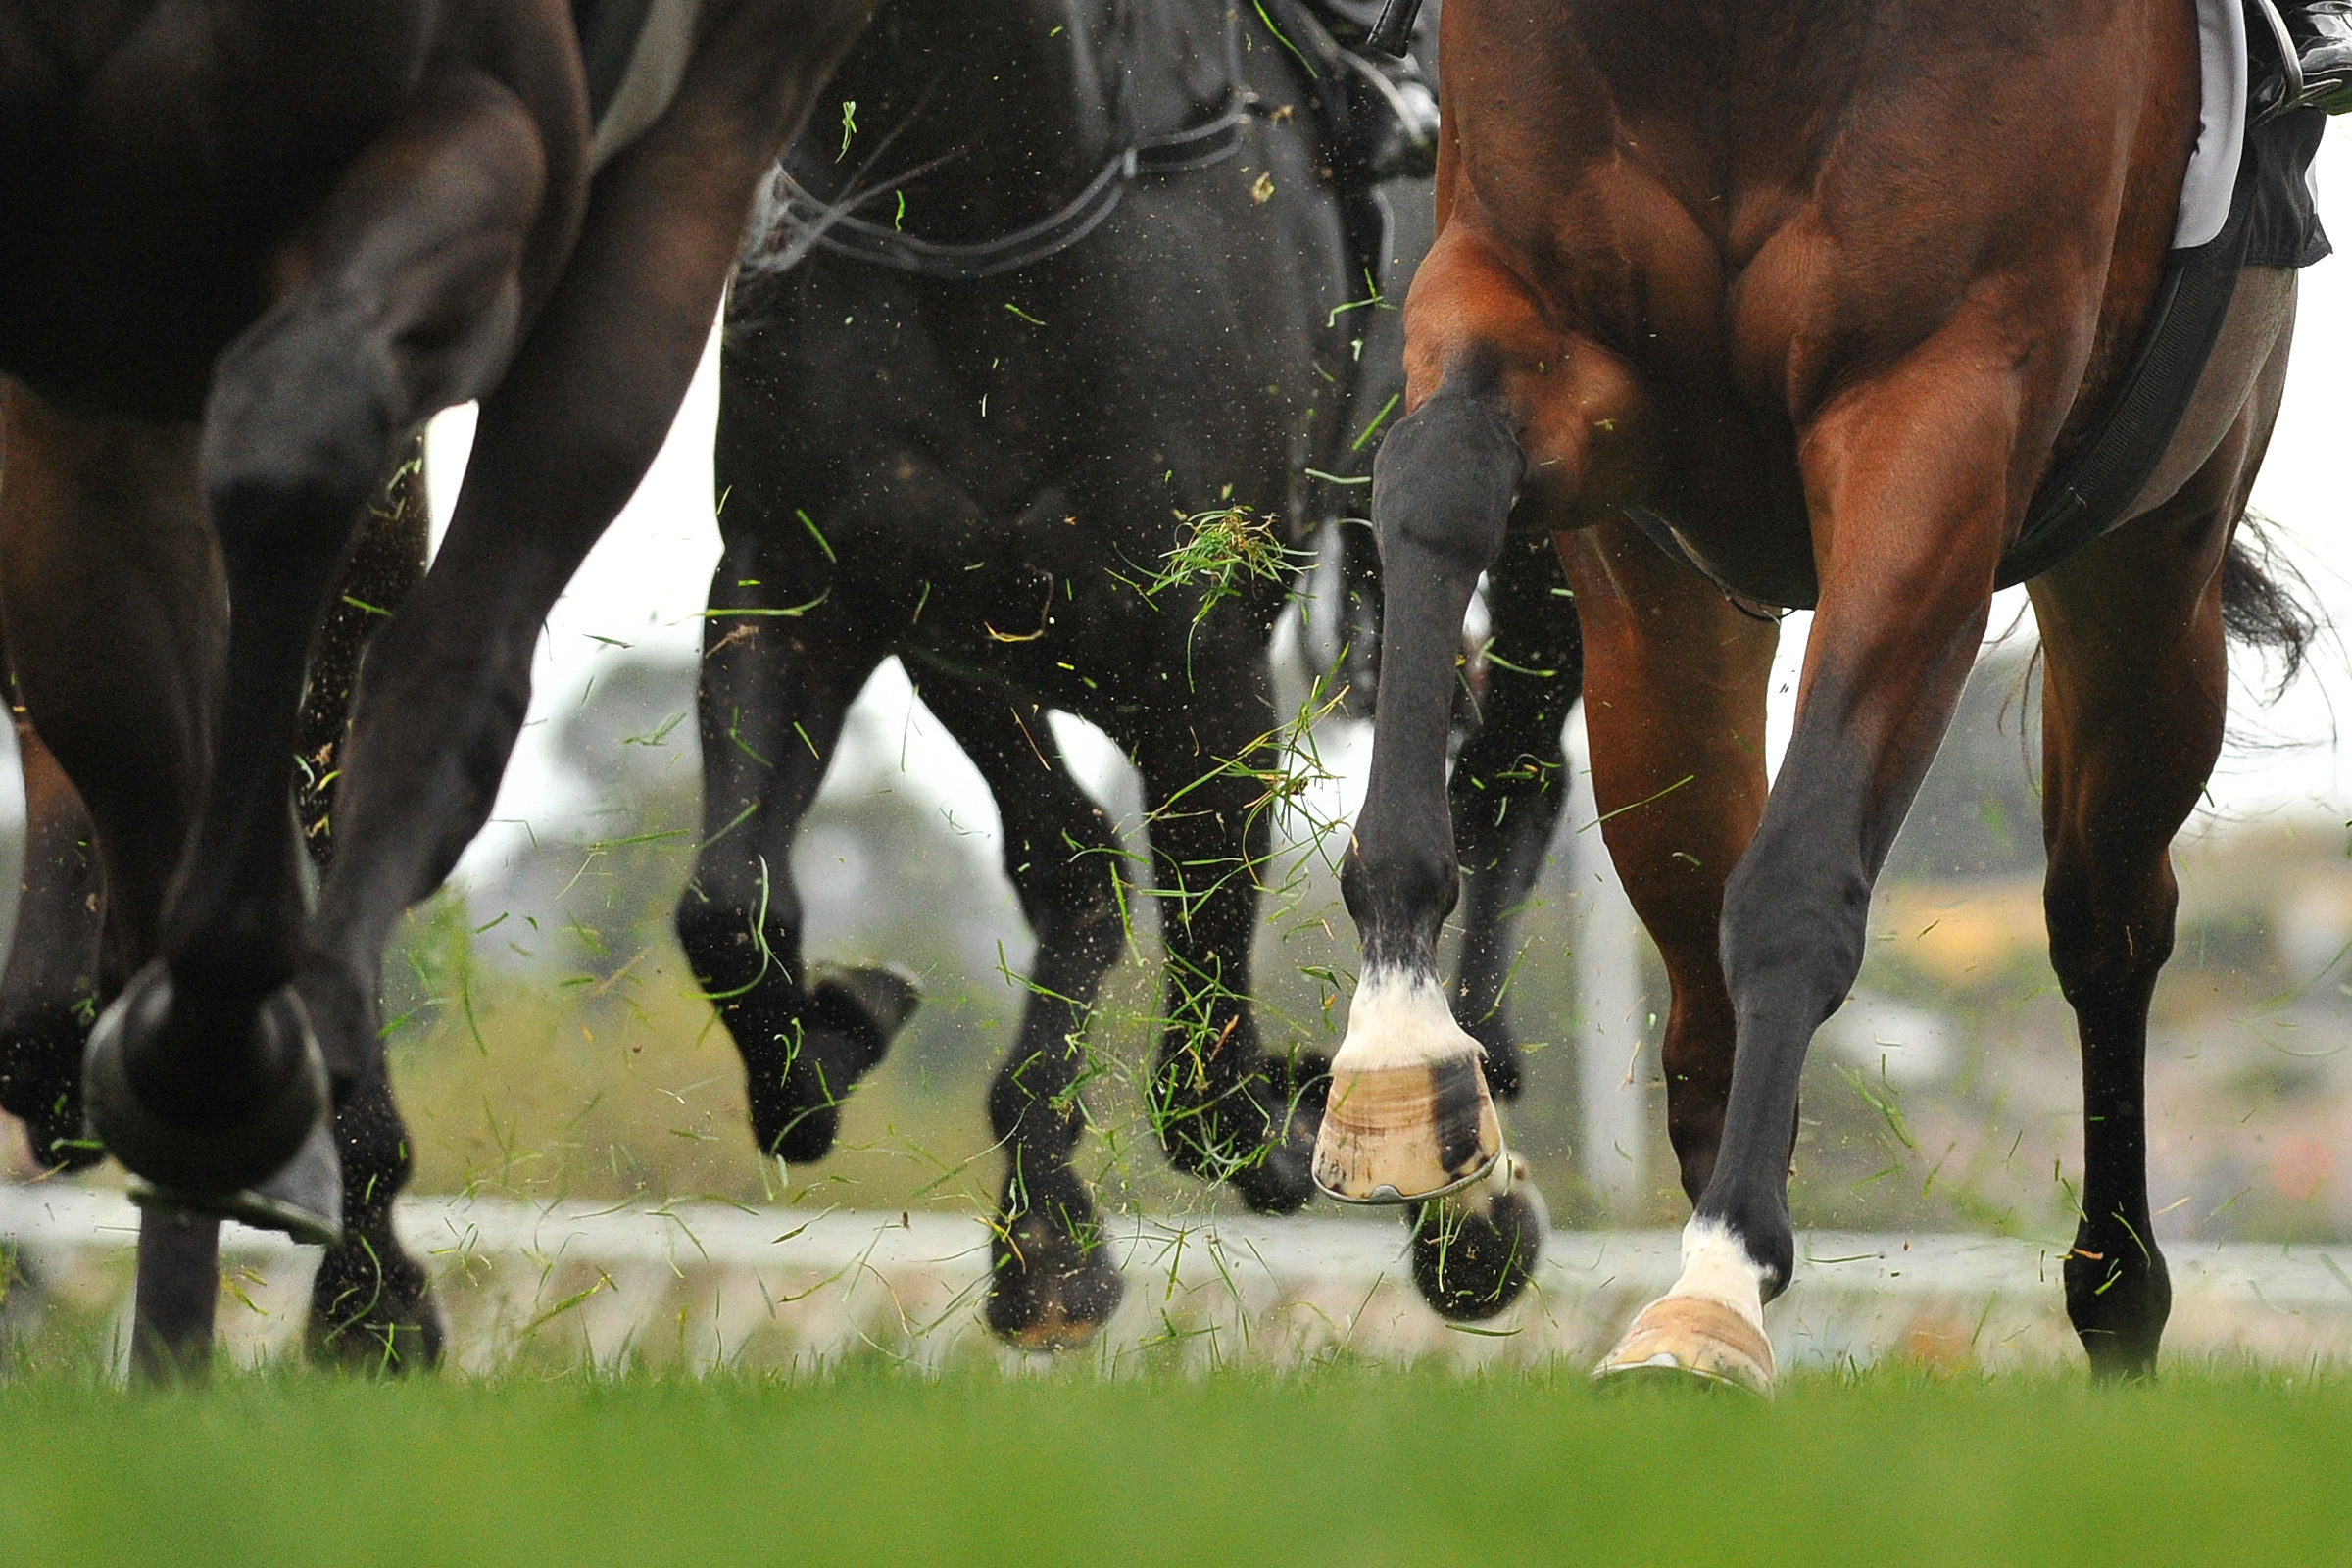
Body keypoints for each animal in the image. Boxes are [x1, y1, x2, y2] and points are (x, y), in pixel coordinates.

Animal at [0, 0, 870, 1372]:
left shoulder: (480, 127)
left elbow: (297, 444)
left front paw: (228, 1064)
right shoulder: (81, 338)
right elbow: (140, 737)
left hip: (676, 172)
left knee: (452, 655)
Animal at [672, 0, 1571, 1353]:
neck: (981, 196)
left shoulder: (1201, 656)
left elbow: (1204, 1058)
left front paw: (1312, 1123)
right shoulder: (816, 583)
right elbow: (728, 900)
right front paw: (850, 1056)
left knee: (1516, 768)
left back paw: (1466, 1174)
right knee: (1075, 860)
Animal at [1336, 0, 2324, 1382]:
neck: (1730, 41)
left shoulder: (1941, 407)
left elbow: (1800, 888)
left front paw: (1712, 1296)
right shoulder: (1531, 314)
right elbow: (1436, 474)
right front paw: (1399, 1049)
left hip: (2158, 555)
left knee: (2106, 921)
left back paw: (2111, 1298)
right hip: (1662, 631)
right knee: (1697, 982)